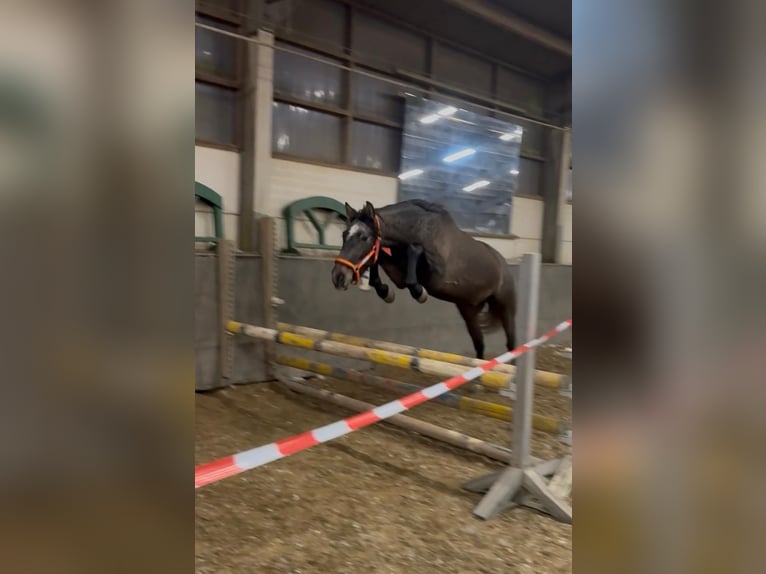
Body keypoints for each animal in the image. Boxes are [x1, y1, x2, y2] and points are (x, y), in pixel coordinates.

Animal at [331, 199, 516, 359]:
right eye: (344, 234)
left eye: (364, 238)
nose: (338, 277)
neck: (419, 230)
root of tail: (503, 264)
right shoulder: (396, 273)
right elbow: (379, 260)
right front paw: (387, 293)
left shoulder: (436, 274)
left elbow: (414, 251)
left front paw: (420, 294)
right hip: (468, 310)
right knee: (479, 344)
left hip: (505, 308)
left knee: (511, 343)